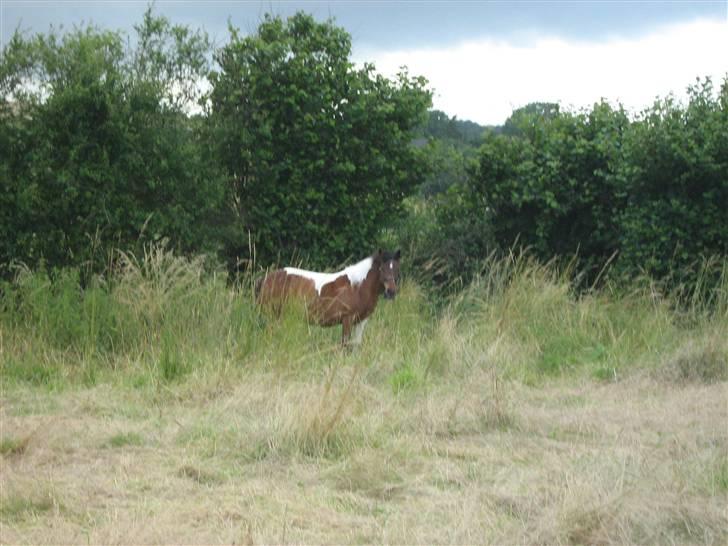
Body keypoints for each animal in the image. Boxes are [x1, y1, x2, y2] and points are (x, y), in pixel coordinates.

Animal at [256, 248, 400, 344]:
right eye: (382, 269)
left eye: (396, 268)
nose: (391, 291)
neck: (357, 286)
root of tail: (266, 279)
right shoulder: (347, 319)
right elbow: (345, 345)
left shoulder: (361, 321)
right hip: (273, 315)